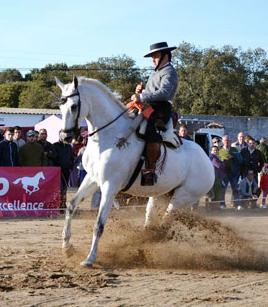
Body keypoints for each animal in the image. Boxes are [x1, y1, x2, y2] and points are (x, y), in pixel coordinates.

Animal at [55, 76, 215, 268]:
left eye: (73, 106)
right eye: (60, 107)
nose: (65, 137)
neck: (110, 137)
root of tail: (207, 161)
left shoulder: (110, 186)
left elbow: (99, 224)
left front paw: (90, 258)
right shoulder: (92, 179)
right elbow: (71, 206)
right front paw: (66, 247)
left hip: (181, 198)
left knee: (164, 225)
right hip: (159, 195)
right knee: (152, 221)